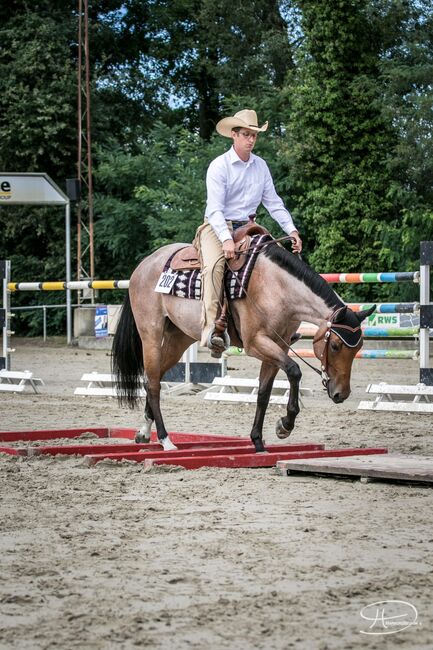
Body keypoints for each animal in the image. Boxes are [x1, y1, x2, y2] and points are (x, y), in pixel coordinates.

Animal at [113, 237, 372, 450]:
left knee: (153, 378)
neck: (277, 287)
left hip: (179, 339)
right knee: (153, 384)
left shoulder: (278, 347)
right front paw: (285, 425)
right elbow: (294, 371)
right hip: (151, 335)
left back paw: (144, 432)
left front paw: (258, 440)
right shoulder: (257, 343)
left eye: (358, 348)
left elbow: (264, 392)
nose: (341, 394)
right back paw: (166, 439)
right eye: (336, 346)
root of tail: (143, 265)